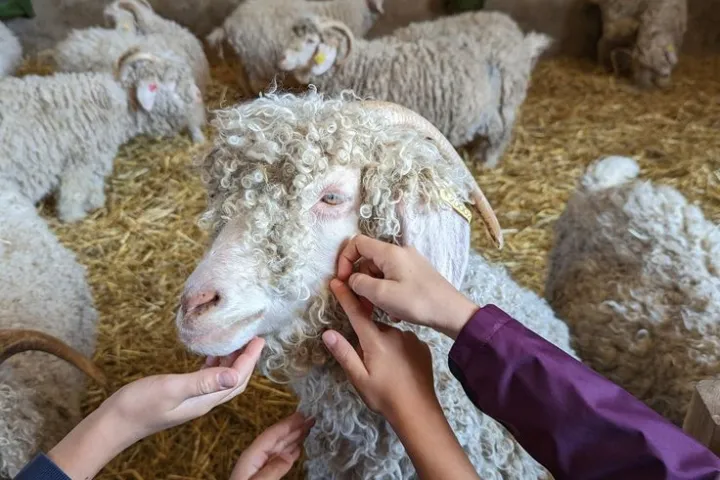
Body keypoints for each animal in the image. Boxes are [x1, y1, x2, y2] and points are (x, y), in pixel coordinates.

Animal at [0, 47, 206, 223]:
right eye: (172, 81)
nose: (198, 95)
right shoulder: (81, 160)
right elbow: (74, 193)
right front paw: (74, 216)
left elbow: (94, 183)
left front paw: (95, 203)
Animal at [277, 14, 550, 168]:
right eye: (290, 37)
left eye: (311, 41)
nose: (282, 59)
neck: (359, 66)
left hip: (503, 103)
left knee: (501, 131)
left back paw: (488, 161)